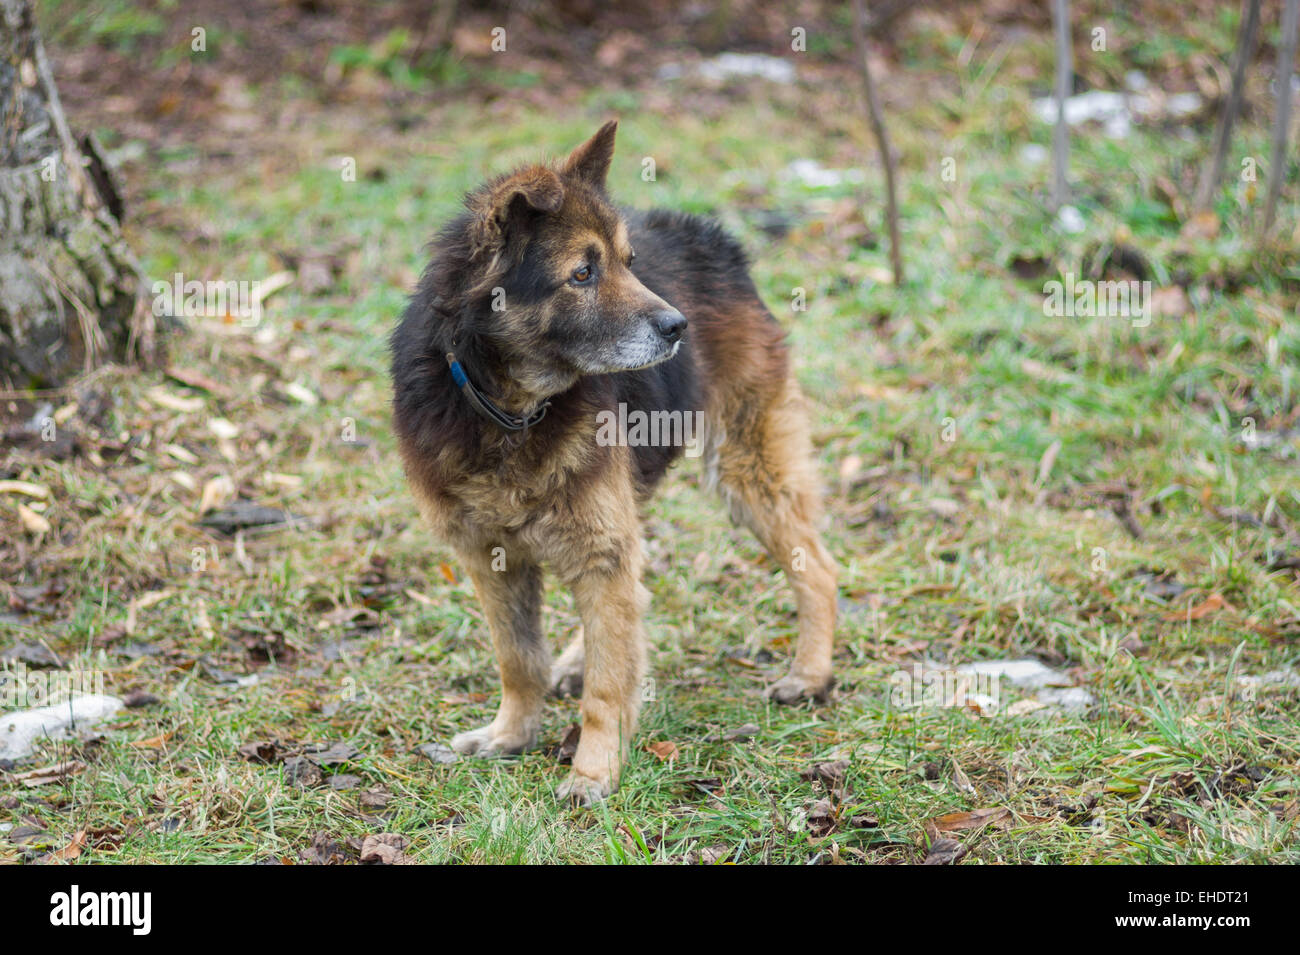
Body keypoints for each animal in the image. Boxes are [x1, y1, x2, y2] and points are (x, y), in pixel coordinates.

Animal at [390, 121, 837, 805]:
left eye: (629, 263)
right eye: (582, 273)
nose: (678, 326)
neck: (510, 411)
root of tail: (710, 235)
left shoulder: (599, 545)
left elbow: (608, 683)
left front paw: (594, 771)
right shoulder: (490, 555)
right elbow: (519, 659)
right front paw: (511, 736)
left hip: (746, 468)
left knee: (817, 568)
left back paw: (809, 673)